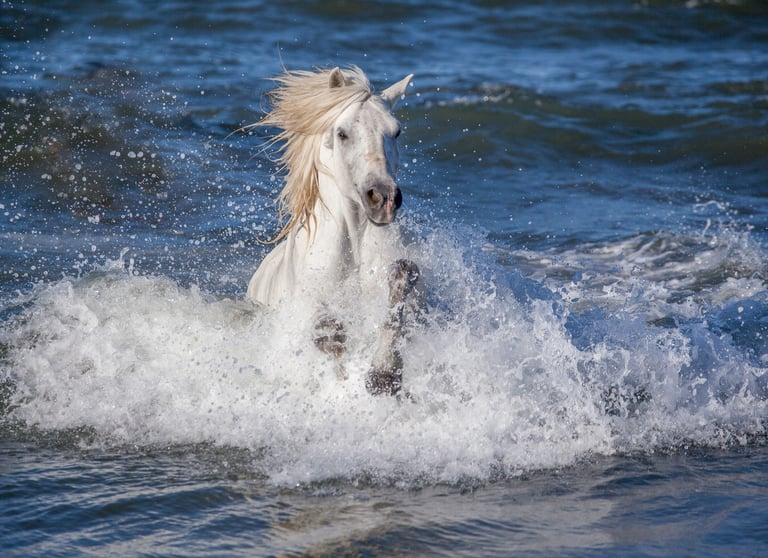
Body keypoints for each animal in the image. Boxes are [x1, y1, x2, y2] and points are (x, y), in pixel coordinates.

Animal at [245, 66, 420, 397]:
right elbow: (329, 336)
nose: (383, 198)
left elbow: (400, 293)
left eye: (397, 131)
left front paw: (383, 374)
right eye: (342, 133)